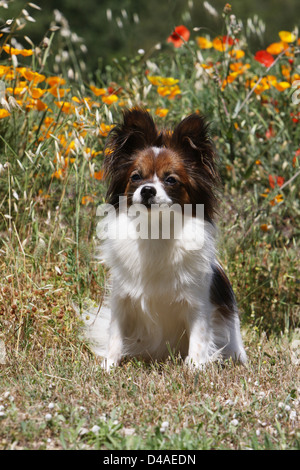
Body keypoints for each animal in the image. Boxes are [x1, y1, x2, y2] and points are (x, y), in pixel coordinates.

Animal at [81, 108, 246, 370]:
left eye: (170, 180)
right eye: (136, 177)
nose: (148, 190)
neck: (155, 228)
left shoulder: (197, 303)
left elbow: (199, 337)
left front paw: (195, 367)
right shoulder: (122, 299)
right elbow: (115, 335)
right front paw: (109, 365)